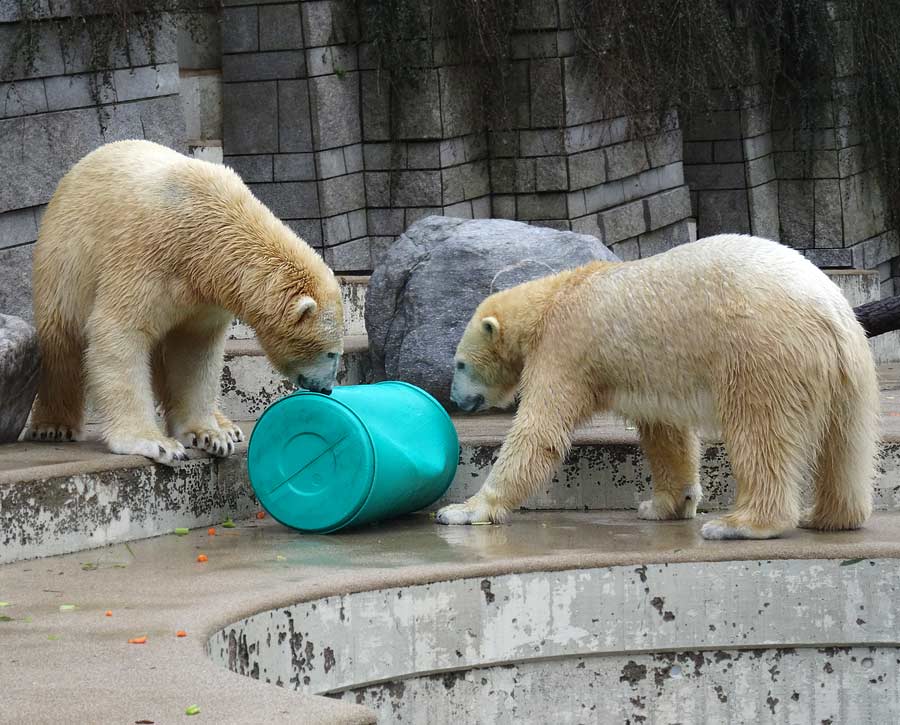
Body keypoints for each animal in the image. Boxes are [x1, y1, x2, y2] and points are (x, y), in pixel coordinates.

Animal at [29, 141, 344, 464]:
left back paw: (226, 426)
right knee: (61, 340)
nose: (326, 388)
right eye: (331, 353)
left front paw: (209, 436)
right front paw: (155, 442)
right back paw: (53, 426)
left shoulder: (207, 294)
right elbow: (120, 332)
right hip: (66, 261)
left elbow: (194, 350)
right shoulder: (147, 254)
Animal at [436, 235, 880, 540]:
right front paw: (662, 504)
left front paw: (463, 510)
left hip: (763, 351)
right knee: (847, 442)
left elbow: (539, 431)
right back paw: (828, 516)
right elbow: (666, 432)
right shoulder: (649, 375)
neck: (553, 297)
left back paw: (740, 524)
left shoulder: (565, 347)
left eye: (459, 364)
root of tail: (828, 308)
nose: (455, 398)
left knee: (760, 430)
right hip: (850, 368)